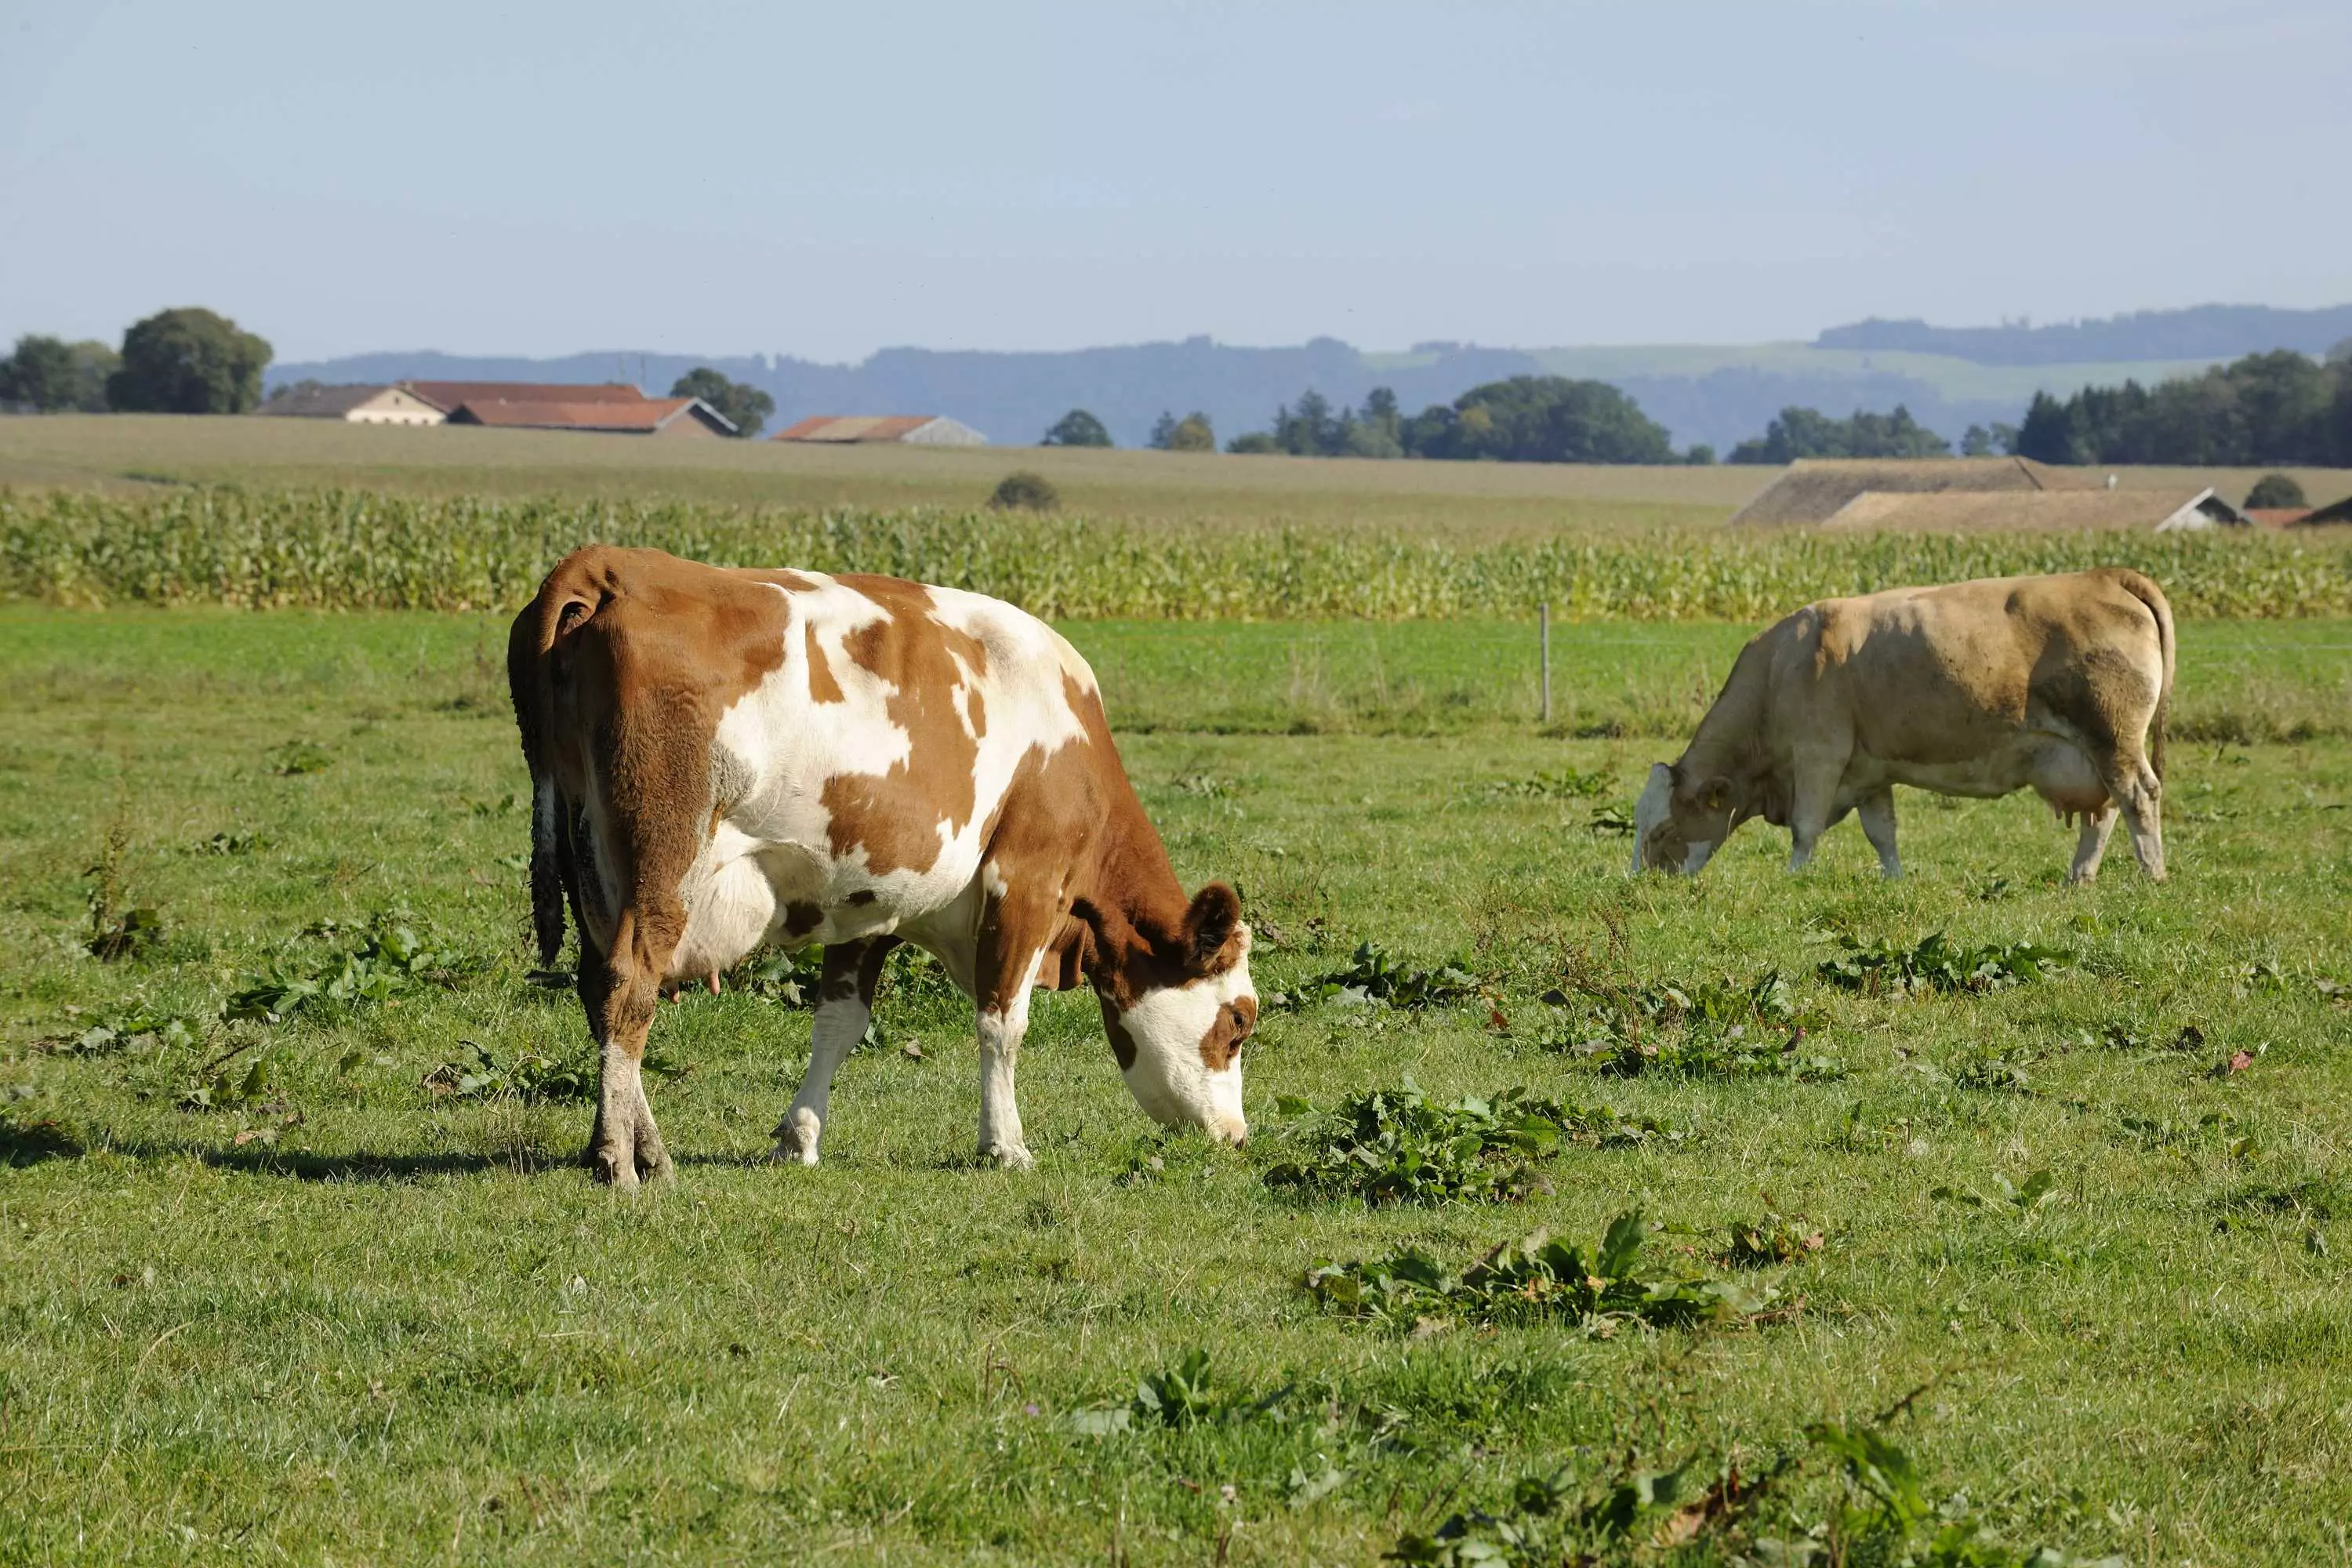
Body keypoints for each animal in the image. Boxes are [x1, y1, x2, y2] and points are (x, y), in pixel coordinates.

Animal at [506, 545, 1256, 1188]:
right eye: (1240, 1022)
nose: (1237, 1136)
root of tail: (613, 565)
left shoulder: (868, 901)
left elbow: (839, 1024)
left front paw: (799, 1138)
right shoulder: (1026, 883)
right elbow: (1001, 1024)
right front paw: (1005, 1146)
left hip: (592, 865)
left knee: (595, 988)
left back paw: (642, 1148)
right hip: (665, 862)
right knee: (628, 987)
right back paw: (619, 1158)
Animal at [1631, 568, 2174, 884]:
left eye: (1663, 830)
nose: (1638, 885)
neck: (1780, 667)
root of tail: (2107, 575)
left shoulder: (1819, 754)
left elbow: (1806, 829)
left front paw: (1793, 879)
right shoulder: (1868, 769)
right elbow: (1882, 833)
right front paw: (1894, 882)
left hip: (2113, 740)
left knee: (2138, 797)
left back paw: (2153, 875)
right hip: (2092, 754)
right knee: (2104, 813)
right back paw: (2077, 880)